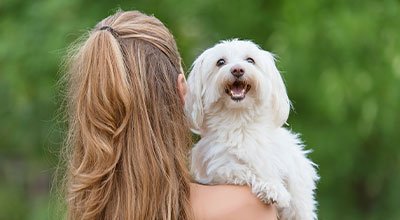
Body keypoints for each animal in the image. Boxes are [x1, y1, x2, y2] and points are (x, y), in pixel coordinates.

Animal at [186, 38, 320, 219]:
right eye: (220, 62)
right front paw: (273, 188)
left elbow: (298, 199)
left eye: (250, 60)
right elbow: (249, 171)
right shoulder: (220, 167)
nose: (237, 69)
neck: (241, 123)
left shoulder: (295, 171)